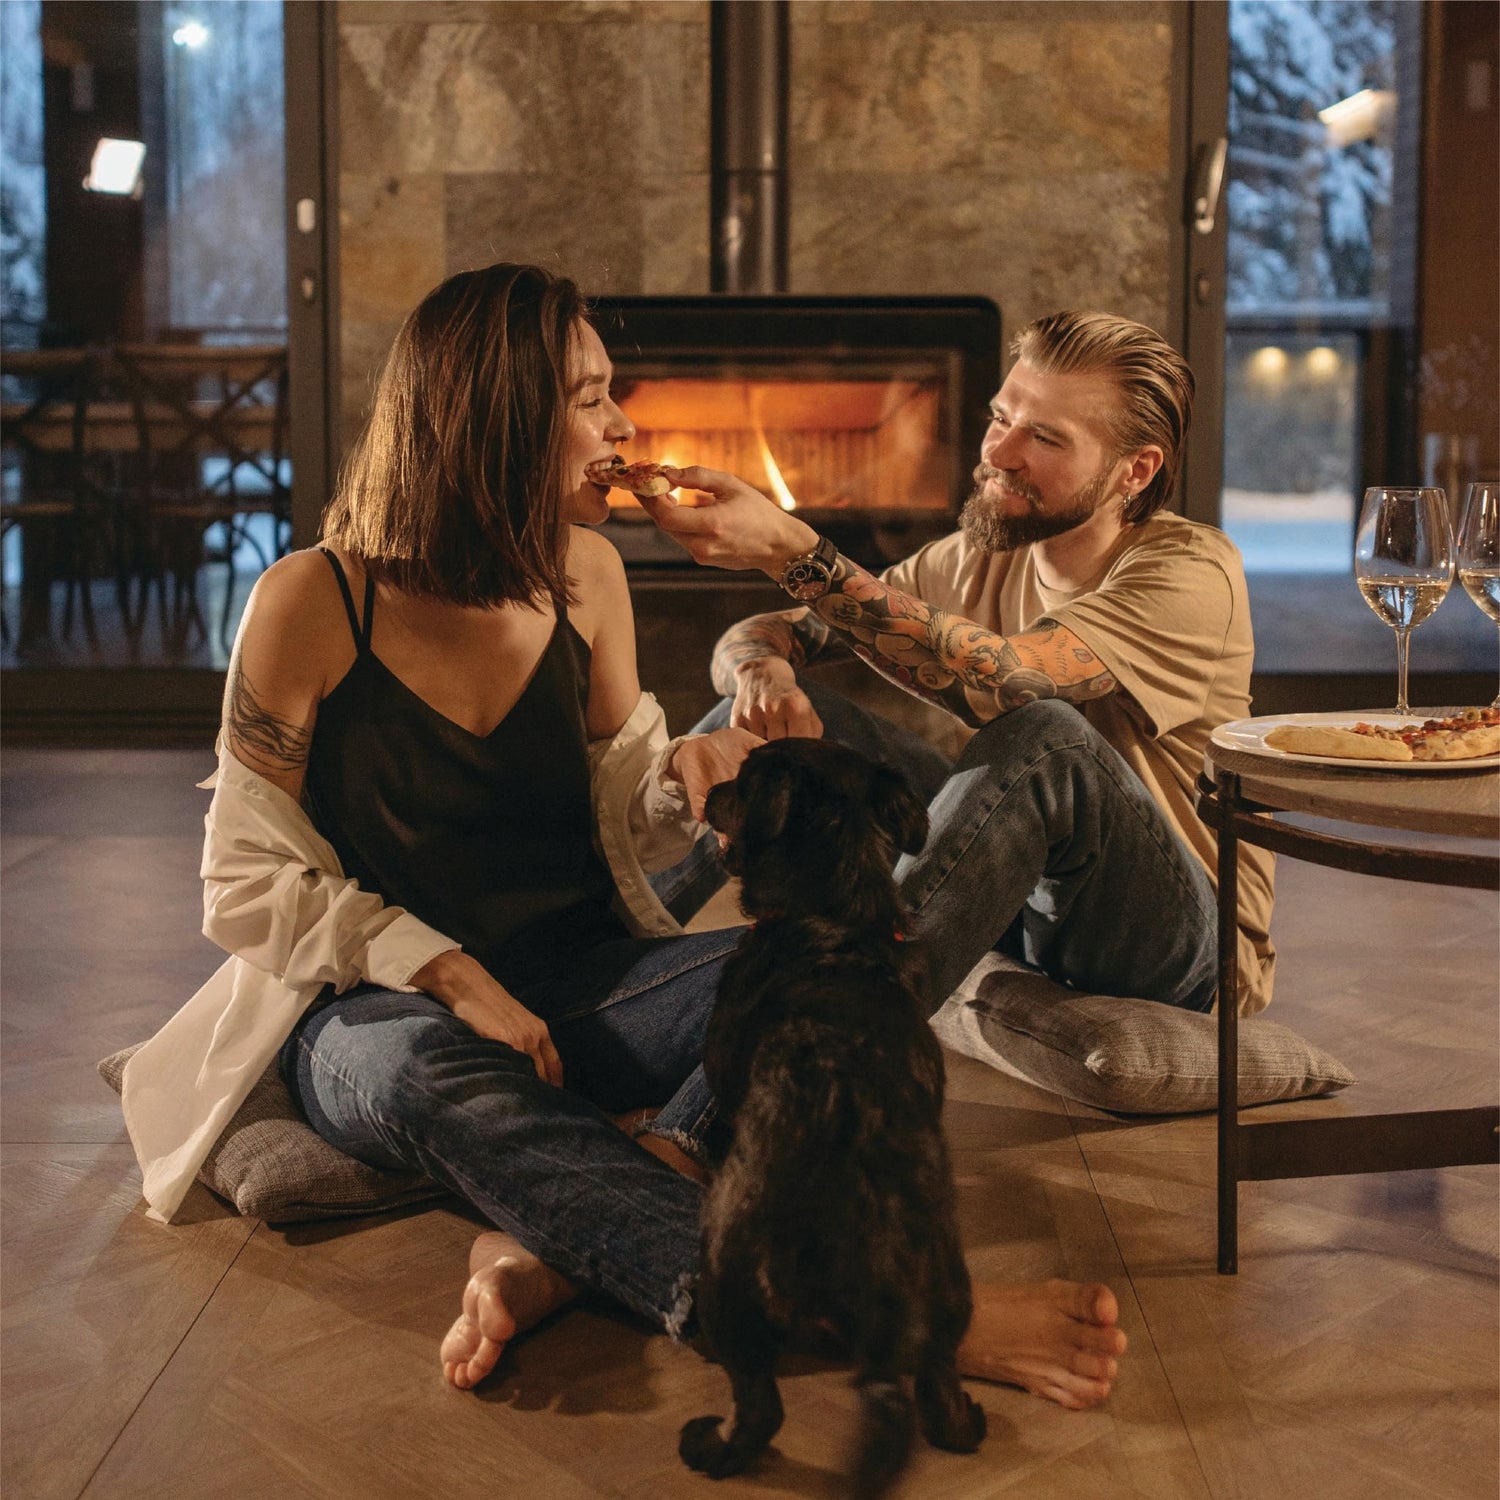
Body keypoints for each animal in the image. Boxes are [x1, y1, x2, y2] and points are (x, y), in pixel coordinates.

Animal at [681, 738, 984, 1500]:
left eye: (744, 781)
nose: (712, 791)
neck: (839, 921)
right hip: (949, 1294)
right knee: (938, 1389)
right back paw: (965, 1422)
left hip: (729, 1274)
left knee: (759, 1407)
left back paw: (708, 1446)